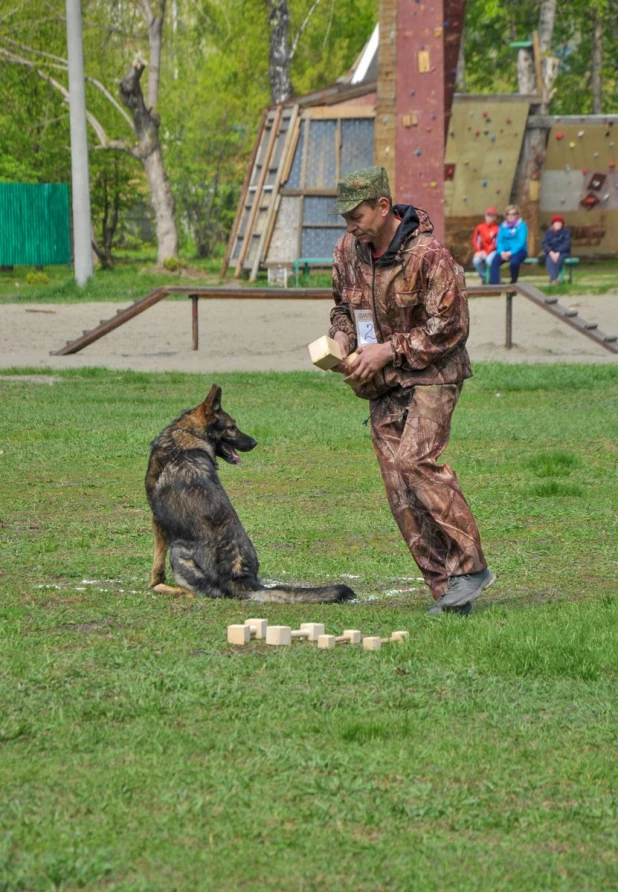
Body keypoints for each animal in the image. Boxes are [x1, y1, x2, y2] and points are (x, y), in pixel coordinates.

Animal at [144, 386, 354, 604]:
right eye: (231, 427)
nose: (254, 442)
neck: (187, 434)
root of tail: (242, 577)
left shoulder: (158, 521)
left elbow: (157, 562)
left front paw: (152, 583)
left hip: (178, 549)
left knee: (195, 593)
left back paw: (162, 588)